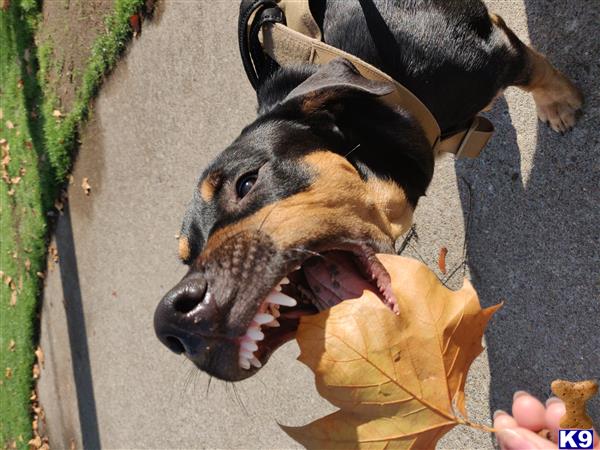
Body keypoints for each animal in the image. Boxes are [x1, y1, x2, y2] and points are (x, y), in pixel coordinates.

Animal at [152, 0, 584, 382]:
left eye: (246, 181)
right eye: (187, 255)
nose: (171, 321)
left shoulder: (493, 50)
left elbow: (534, 69)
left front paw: (558, 103)